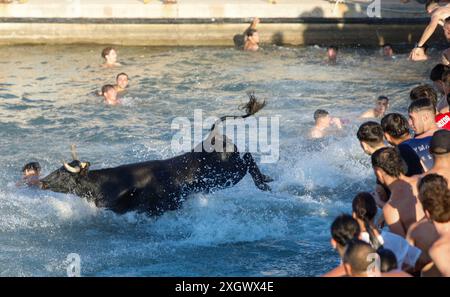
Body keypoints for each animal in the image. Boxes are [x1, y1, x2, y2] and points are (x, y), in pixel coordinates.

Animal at [38, 96, 270, 214]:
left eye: (62, 174)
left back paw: (263, 182)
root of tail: (212, 134)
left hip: (228, 174)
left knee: (248, 159)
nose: (42, 182)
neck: (107, 182)